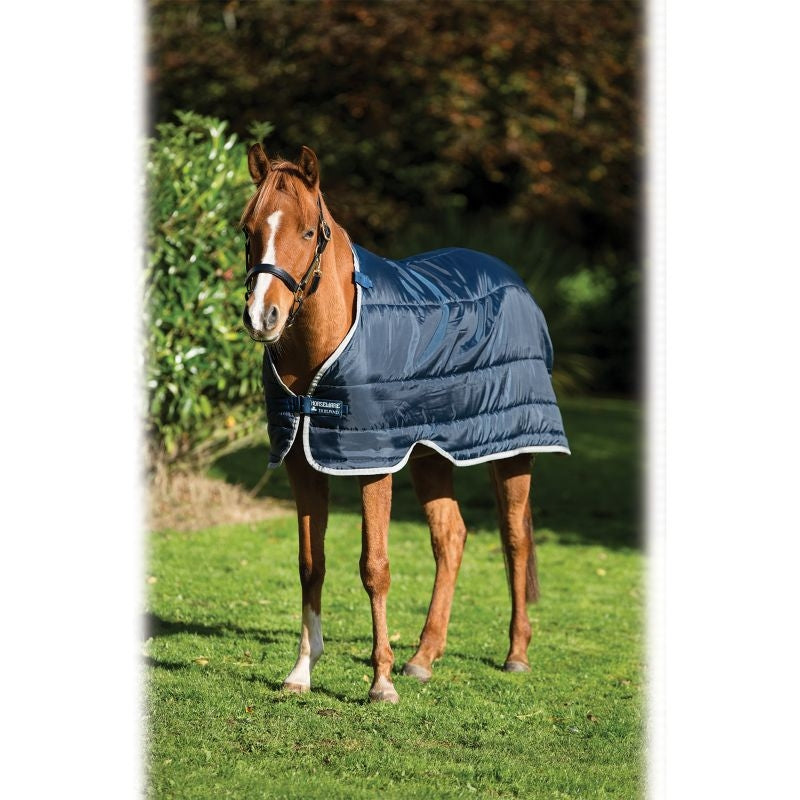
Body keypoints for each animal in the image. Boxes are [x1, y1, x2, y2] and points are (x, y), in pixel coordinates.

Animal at [239, 144, 569, 703]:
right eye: (248, 230)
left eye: (307, 232)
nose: (264, 317)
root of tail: (513, 280)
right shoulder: (303, 464)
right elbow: (311, 566)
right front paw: (301, 673)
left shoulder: (372, 464)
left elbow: (375, 567)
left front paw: (381, 682)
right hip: (431, 455)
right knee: (451, 538)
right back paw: (424, 657)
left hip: (512, 449)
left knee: (514, 540)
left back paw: (516, 654)